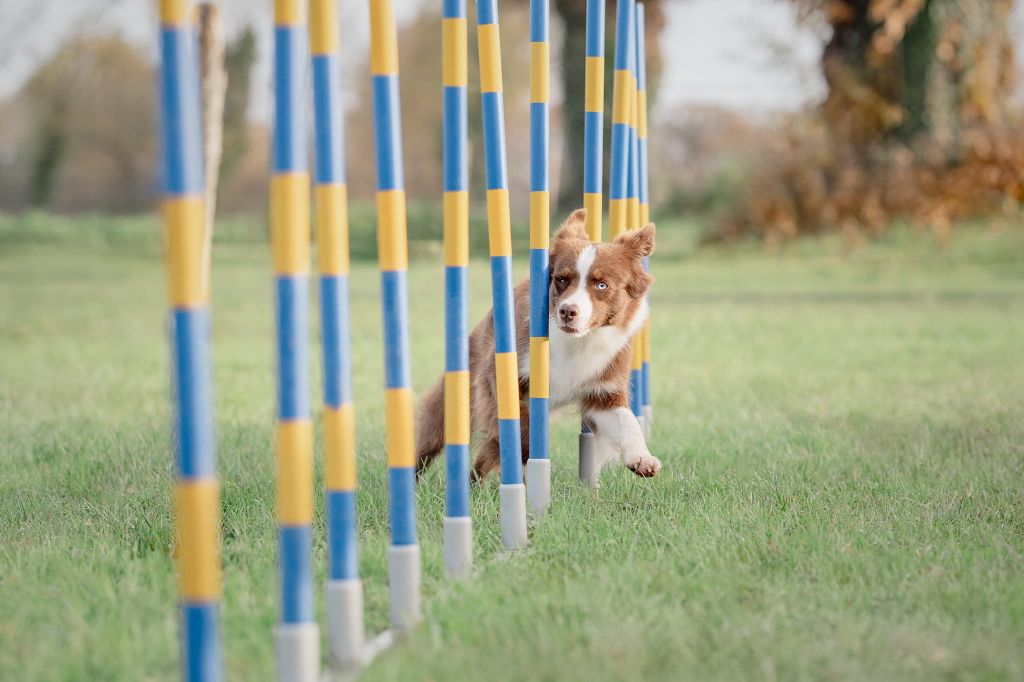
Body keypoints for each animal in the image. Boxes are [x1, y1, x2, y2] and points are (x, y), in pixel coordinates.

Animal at [411, 209, 659, 481]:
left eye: (601, 285)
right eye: (562, 280)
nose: (567, 311)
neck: (577, 342)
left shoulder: (602, 390)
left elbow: (627, 421)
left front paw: (642, 459)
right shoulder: (503, 378)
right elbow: (523, 429)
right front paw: (531, 466)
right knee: (435, 433)